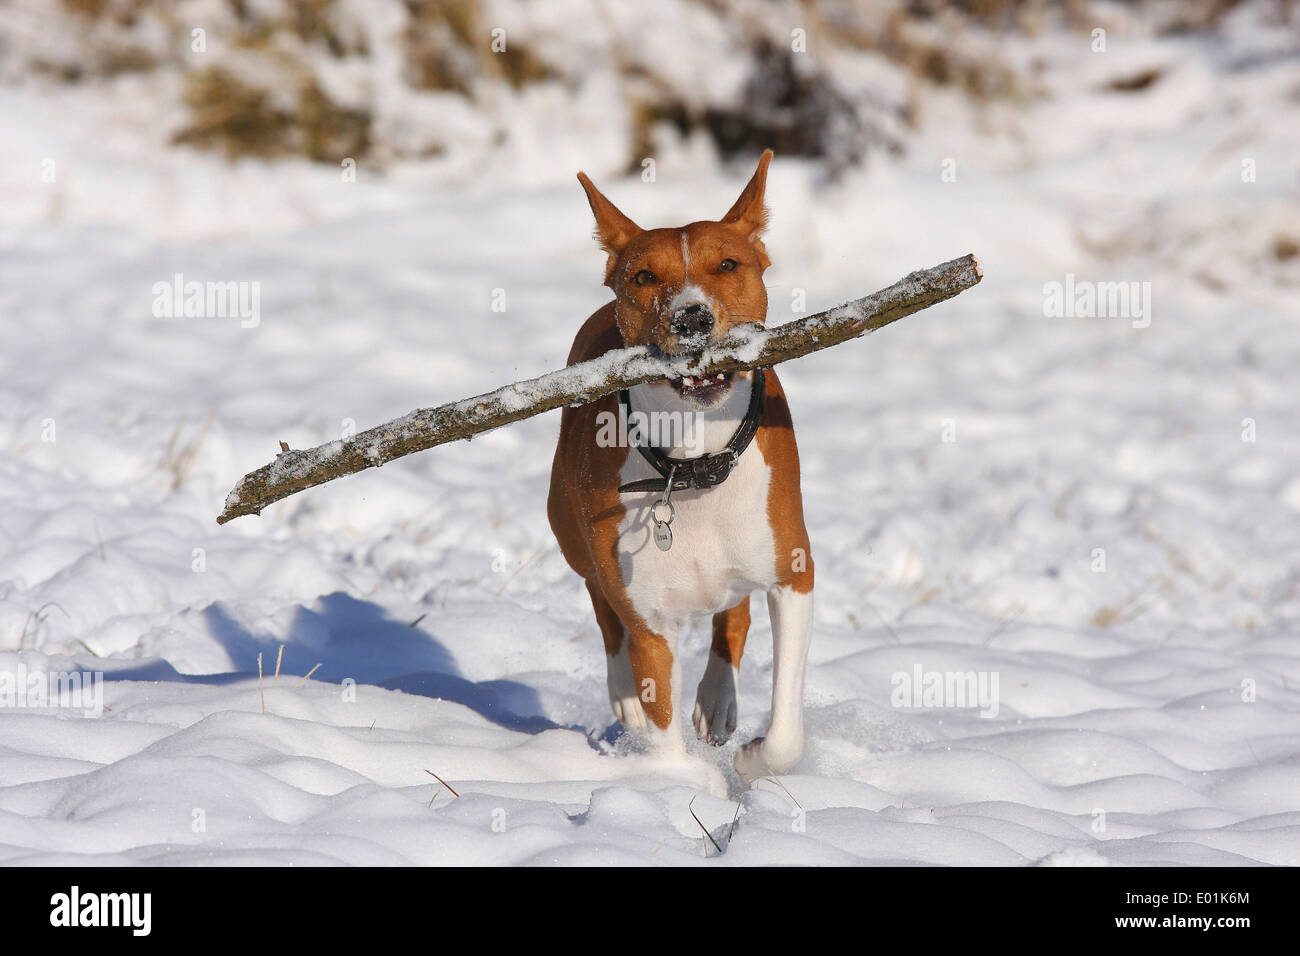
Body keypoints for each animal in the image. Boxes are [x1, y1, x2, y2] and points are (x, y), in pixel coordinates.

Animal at [546, 145, 811, 780]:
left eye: (729, 264)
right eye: (644, 277)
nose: (692, 319)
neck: (693, 466)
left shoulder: (794, 574)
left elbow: (786, 732)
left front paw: (753, 760)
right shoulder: (648, 620)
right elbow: (659, 723)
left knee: (731, 612)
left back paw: (718, 701)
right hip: (570, 533)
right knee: (601, 605)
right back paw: (625, 696)